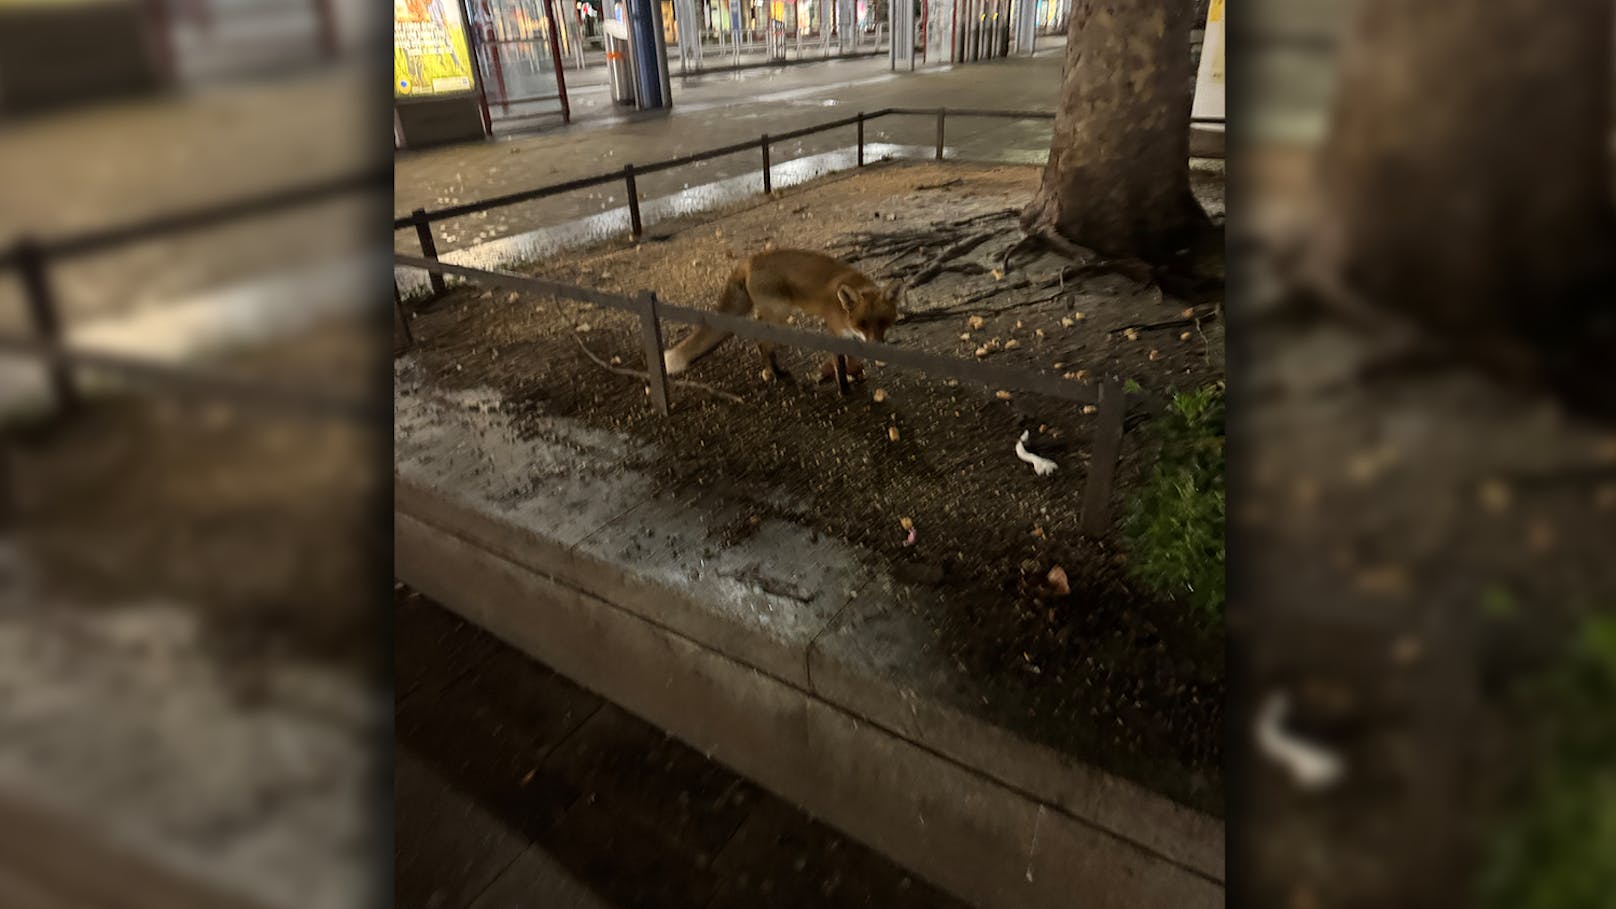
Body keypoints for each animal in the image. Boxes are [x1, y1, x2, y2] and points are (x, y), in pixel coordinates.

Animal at [662, 247, 904, 378]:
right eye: (862, 323)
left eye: (883, 321)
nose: (877, 347)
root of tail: (748, 261)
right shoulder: (835, 328)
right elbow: (844, 359)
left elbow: (855, 358)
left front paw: (857, 372)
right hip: (779, 313)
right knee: (761, 339)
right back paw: (776, 372)